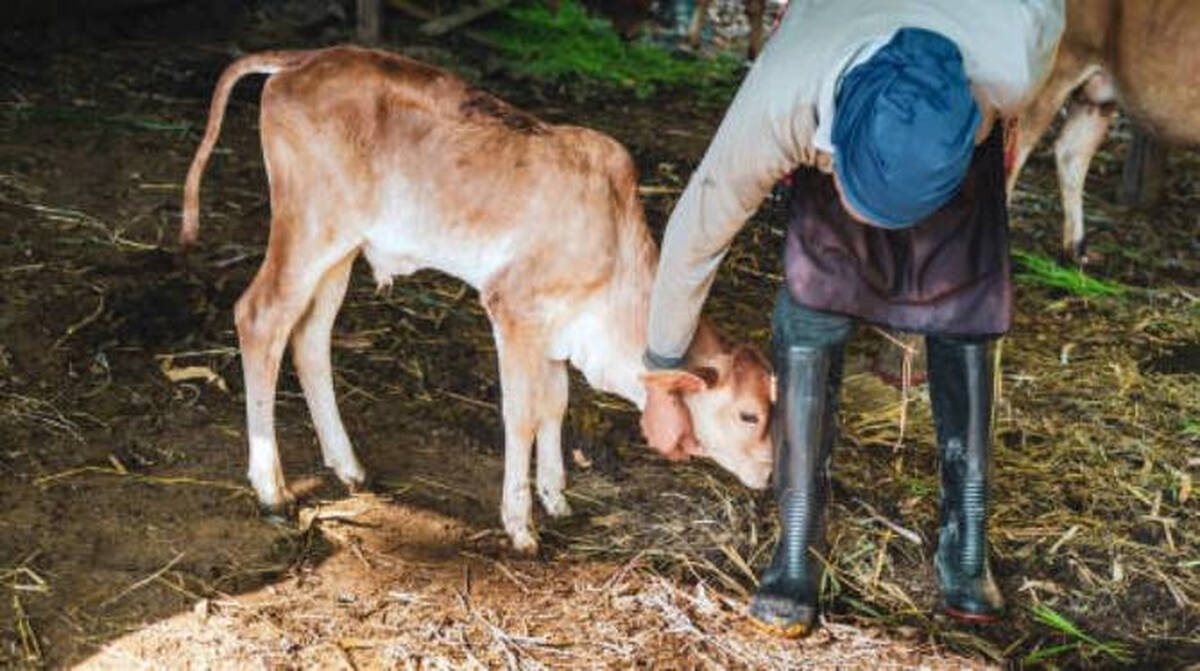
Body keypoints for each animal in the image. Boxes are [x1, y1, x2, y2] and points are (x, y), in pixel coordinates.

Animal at [180, 46, 774, 553]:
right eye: (748, 415)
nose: (770, 474)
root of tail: (303, 59)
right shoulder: (513, 308)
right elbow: (523, 414)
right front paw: (520, 525)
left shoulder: (554, 332)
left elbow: (556, 403)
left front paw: (556, 499)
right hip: (308, 227)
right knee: (261, 318)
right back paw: (272, 490)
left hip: (341, 252)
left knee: (309, 338)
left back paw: (348, 465)